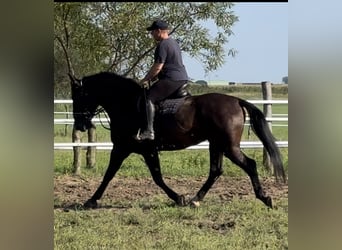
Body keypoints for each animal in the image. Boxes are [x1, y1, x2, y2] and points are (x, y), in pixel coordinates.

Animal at [68, 72, 284, 209]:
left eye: (77, 97)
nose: (80, 125)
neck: (126, 104)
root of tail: (236, 101)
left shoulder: (132, 148)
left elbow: (150, 177)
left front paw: (178, 198)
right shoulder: (129, 149)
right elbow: (113, 174)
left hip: (228, 146)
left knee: (249, 164)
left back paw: (264, 198)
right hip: (216, 144)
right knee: (216, 171)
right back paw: (196, 199)